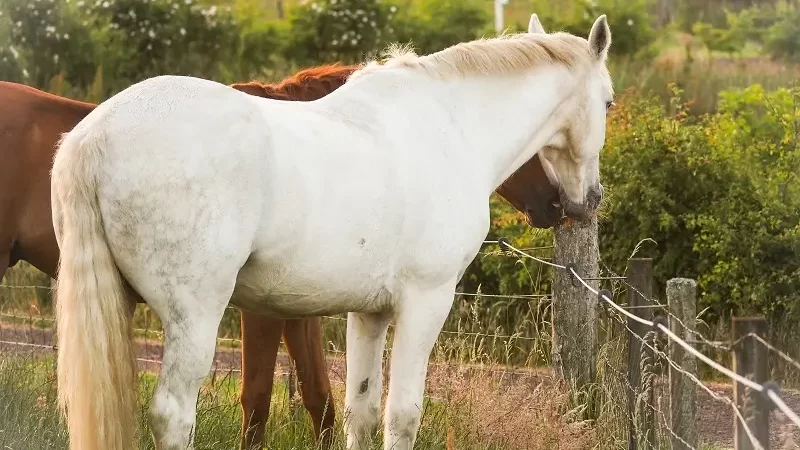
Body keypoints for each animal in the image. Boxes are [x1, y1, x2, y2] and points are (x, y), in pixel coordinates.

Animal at [51, 13, 612, 450]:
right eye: (608, 102)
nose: (581, 203)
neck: (449, 125)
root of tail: (95, 135)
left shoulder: (368, 313)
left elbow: (359, 412)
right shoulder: (426, 302)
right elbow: (402, 415)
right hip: (194, 316)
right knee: (173, 415)